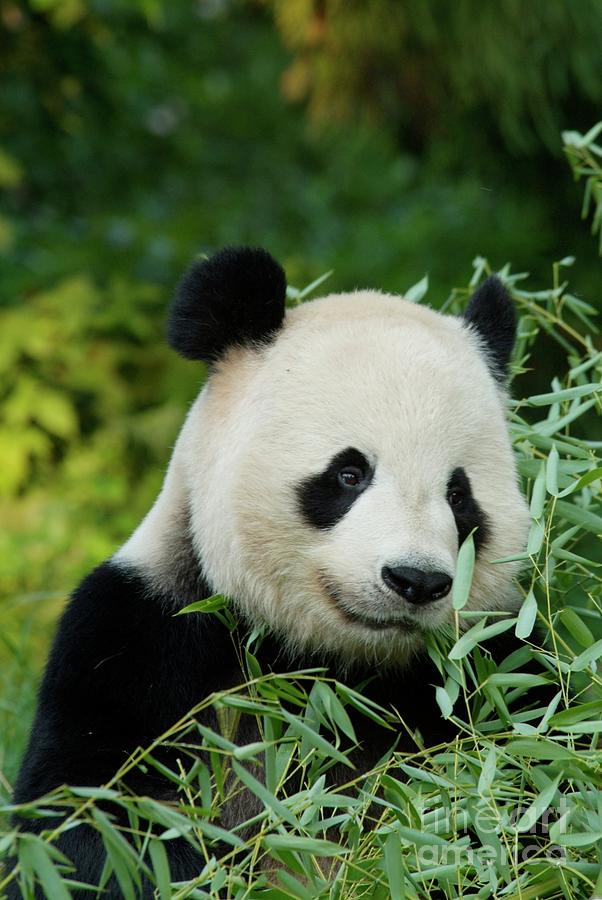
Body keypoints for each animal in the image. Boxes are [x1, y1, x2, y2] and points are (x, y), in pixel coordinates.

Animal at [9, 244, 536, 892]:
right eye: (349, 474)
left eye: (459, 496)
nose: (415, 581)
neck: (333, 668)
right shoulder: (140, 638)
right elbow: (93, 829)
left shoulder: (494, 669)